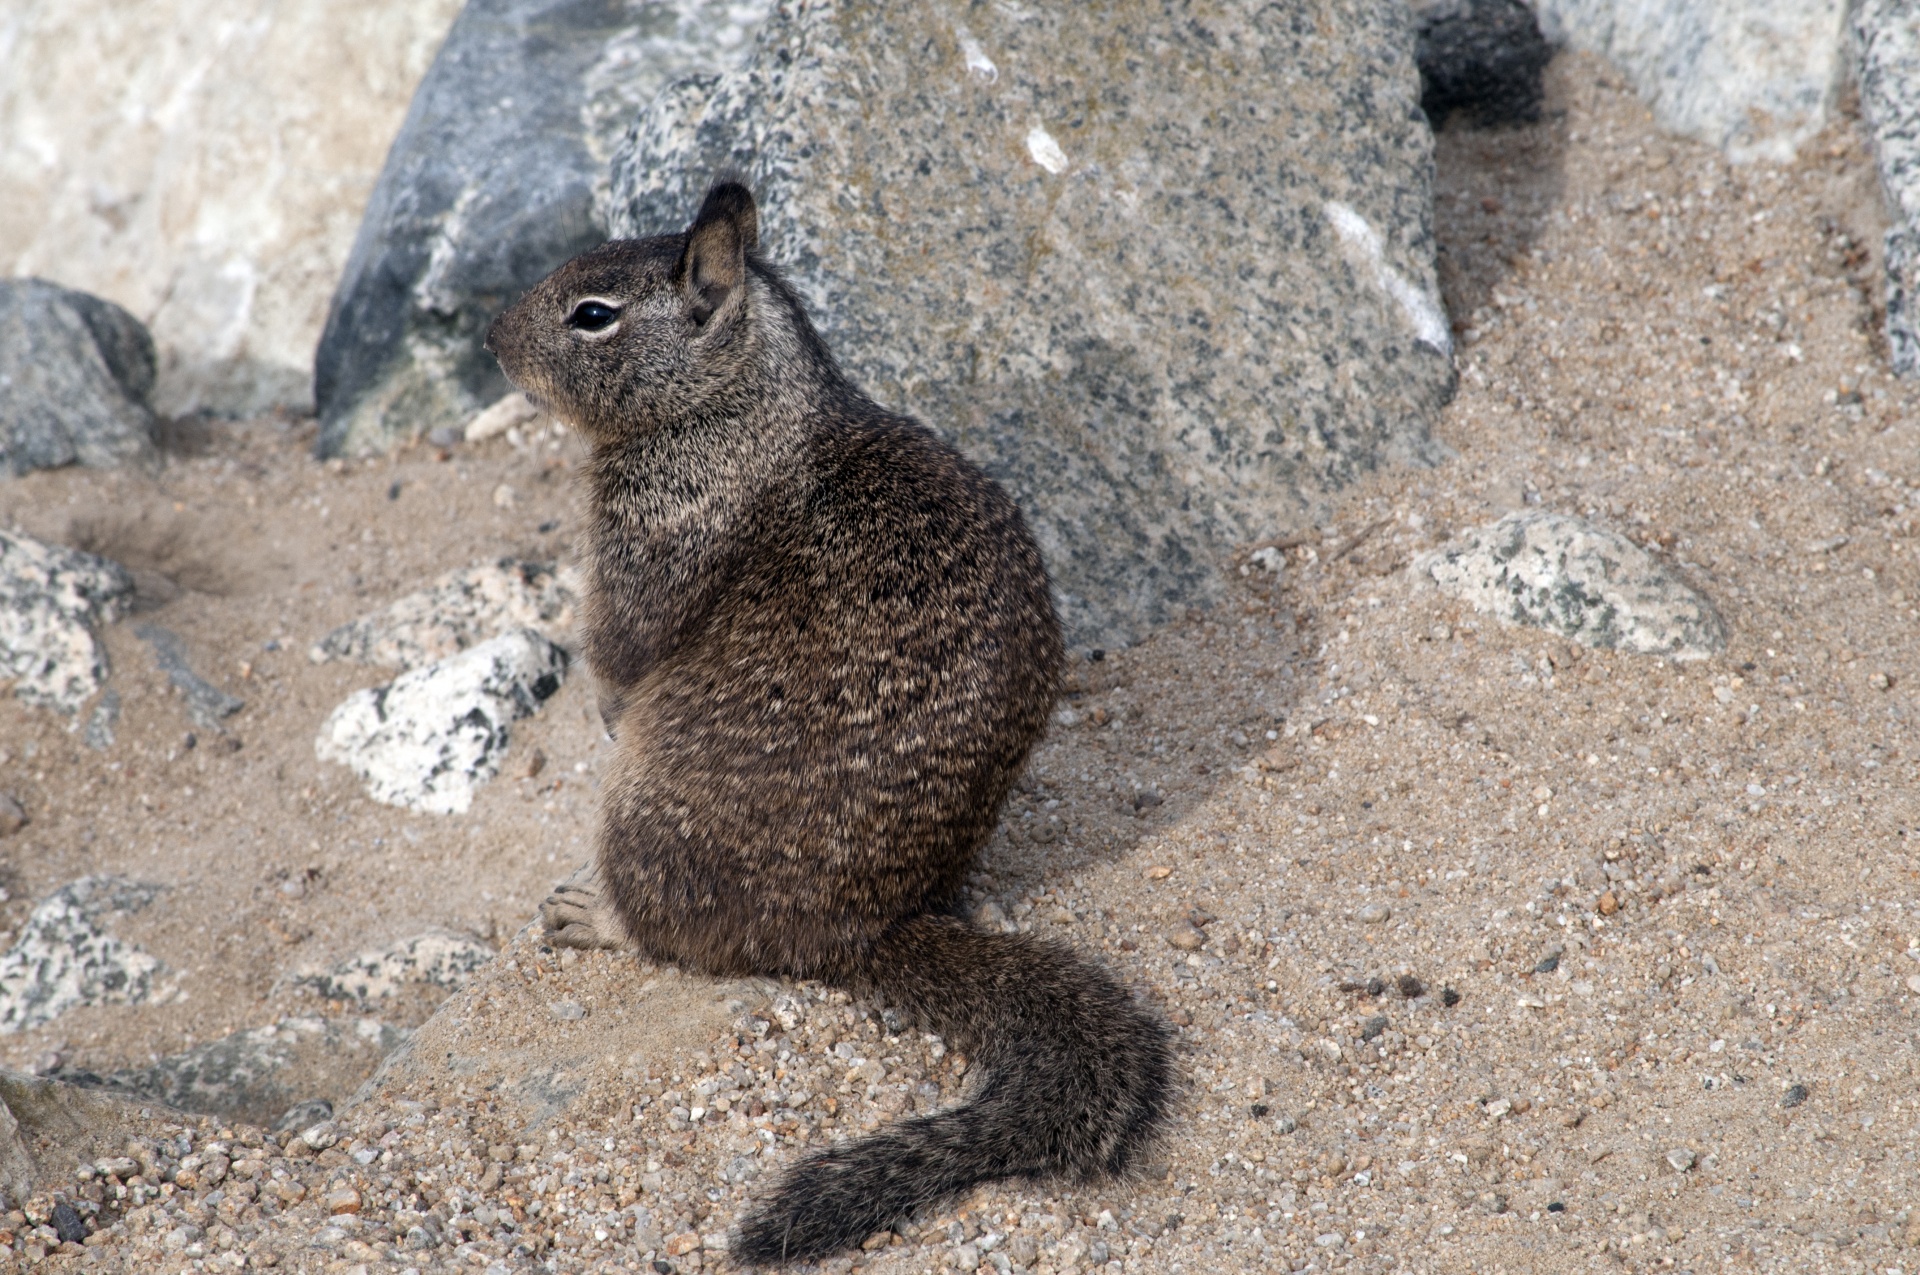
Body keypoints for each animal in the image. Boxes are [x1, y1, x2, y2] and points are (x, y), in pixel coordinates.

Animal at [483, 181, 1167, 1267]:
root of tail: (867, 925)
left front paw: (604, 704)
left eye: (592, 313)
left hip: (644, 820)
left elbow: (622, 648)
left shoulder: (648, 540)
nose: (490, 339)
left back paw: (591, 915)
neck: (744, 401)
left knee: (674, 937)